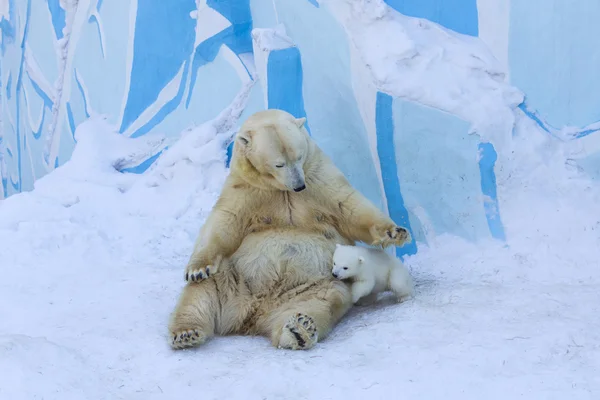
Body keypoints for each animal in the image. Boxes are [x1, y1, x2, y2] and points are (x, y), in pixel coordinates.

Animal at [169, 109, 412, 350]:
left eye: (299, 157)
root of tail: (254, 312)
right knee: (203, 291)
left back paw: (298, 330)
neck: (280, 189)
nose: (299, 186)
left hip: (313, 286)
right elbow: (225, 220)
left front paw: (396, 232)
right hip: (233, 276)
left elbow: (348, 205)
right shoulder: (246, 187)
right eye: (279, 164)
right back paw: (186, 332)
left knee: (319, 303)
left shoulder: (317, 176)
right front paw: (197, 269)